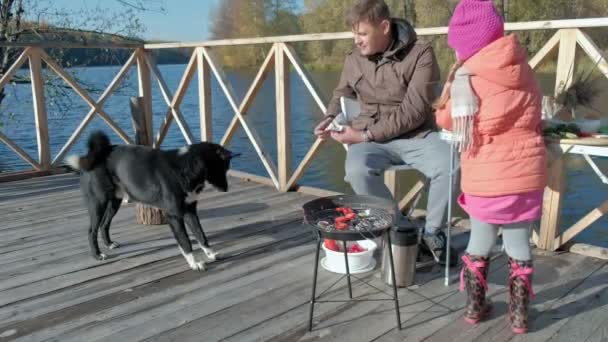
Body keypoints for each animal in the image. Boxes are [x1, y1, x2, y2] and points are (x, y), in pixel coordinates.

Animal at [66, 131, 238, 270]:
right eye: (221, 168)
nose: (226, 189)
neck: (184, 167)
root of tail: (97, 154)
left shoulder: (190, 211)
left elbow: (201, 236)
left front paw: (211, 254)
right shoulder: (174, 216)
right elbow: (185, 242)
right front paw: (194, 263)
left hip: (115, 201)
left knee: (104, 224)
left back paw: (109, 244)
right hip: (98, 203)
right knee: (92, 230)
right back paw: (97, 254)